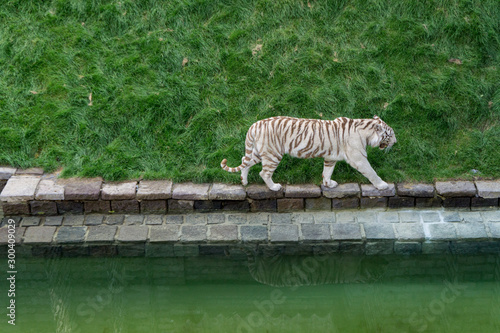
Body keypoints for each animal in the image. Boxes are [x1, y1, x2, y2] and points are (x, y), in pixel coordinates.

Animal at [221, 115, 396, 191]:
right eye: (391, 134)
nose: (395, 141)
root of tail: (254, 125)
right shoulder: (358, 158)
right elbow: (371, 172)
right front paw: (382, 185)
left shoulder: (330, 157)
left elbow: (327, 171)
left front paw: (328, 184)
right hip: (273, 154)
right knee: (264, 173)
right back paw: (274, 187)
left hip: (259, 152)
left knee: (245, 161)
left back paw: (244, 181)